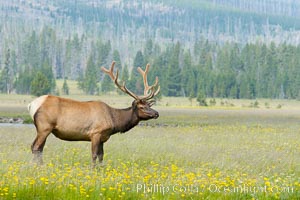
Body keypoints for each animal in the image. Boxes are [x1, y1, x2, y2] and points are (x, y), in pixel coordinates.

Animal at [27, 61, 159, 166]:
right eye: (142, 107)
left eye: (149, 105)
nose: (156, 113)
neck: (114, 120)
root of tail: (32, 105)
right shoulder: (95, 133)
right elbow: (94, 154)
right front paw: (93, 169)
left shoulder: (103, 137)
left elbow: (101, 155)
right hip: (44, 127)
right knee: (36, 147)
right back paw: (37, 167)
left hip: (44, 129)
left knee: (39, 148)